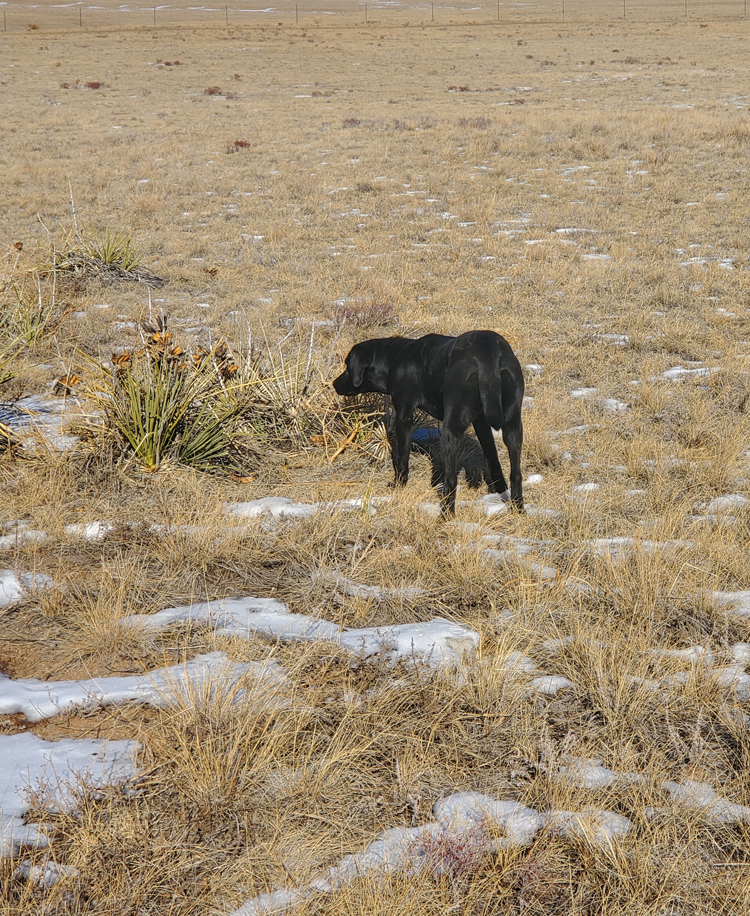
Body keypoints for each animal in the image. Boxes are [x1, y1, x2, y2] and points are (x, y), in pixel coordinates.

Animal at [332, 330, 524, 516]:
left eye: (347, 365)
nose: (334, 384)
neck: (395, 357)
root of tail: (487, 350)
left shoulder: (404, 414)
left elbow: (401, 458)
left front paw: (398, 485)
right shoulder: (481, 423)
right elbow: (492, 457)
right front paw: (497, 490)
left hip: (450, 430)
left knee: (451, 479)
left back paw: (446, 515)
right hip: (513, 427)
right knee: (516, 474)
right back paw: (519, 509)